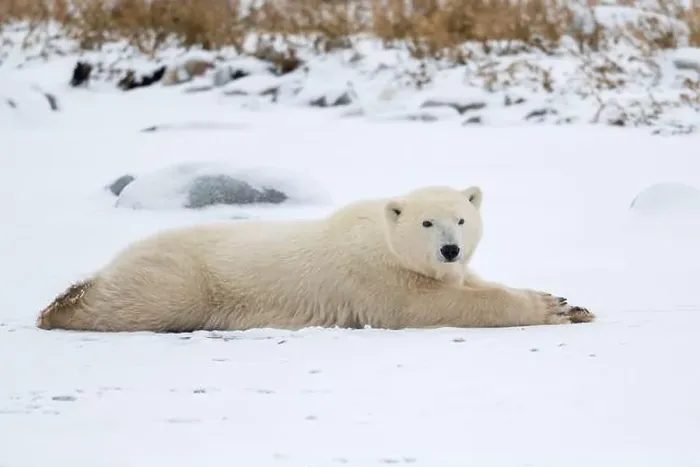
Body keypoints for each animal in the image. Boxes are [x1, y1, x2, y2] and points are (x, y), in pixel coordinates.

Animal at [36, 185, 594, 333]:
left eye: (460, 218)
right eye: (426, 223)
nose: (449, 249)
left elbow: (468, 285)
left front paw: (574, 305)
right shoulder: (377, 279)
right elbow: (433, 306)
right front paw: (546, 306)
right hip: (183, 277)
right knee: (137, 300)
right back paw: (63, 305)